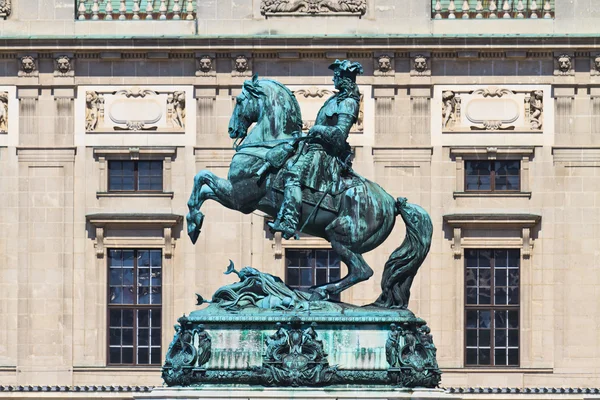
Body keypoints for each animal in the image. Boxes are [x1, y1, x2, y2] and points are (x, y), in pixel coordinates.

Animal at [188, 76, 432, 304]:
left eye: (239, 100)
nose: (232, 130)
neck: (267, 146)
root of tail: (393, 202)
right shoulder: (238, 199)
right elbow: (202, 183)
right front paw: (194, 222)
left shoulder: (239, 198)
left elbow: (202, 178)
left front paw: (193, 223)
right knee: (359, 271)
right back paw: (315, 291)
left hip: (340, 234)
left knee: (363, 271)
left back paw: (320, 290)